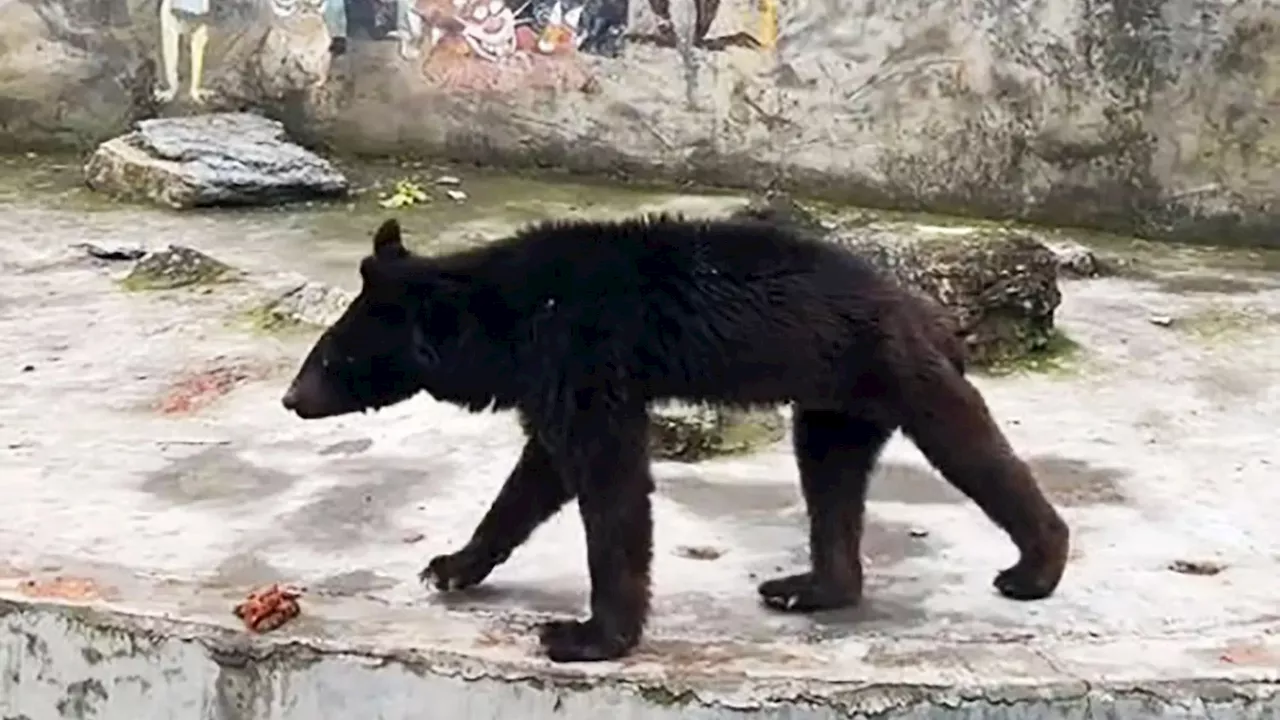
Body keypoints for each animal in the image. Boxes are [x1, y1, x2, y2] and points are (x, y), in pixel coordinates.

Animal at [280, 212, 1070, 661]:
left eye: (330, 357)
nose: (291, 398)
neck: (509, 319)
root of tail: (928, 311)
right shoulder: (551, 376)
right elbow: (539, 473)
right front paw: (451, 565)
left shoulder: (582, 354)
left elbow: (608, 482)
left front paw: (586, 636)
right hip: (835, 401)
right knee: (830, 478)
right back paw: (811, 586)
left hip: (893, 368)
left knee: (970, 450)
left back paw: (1034, 565)